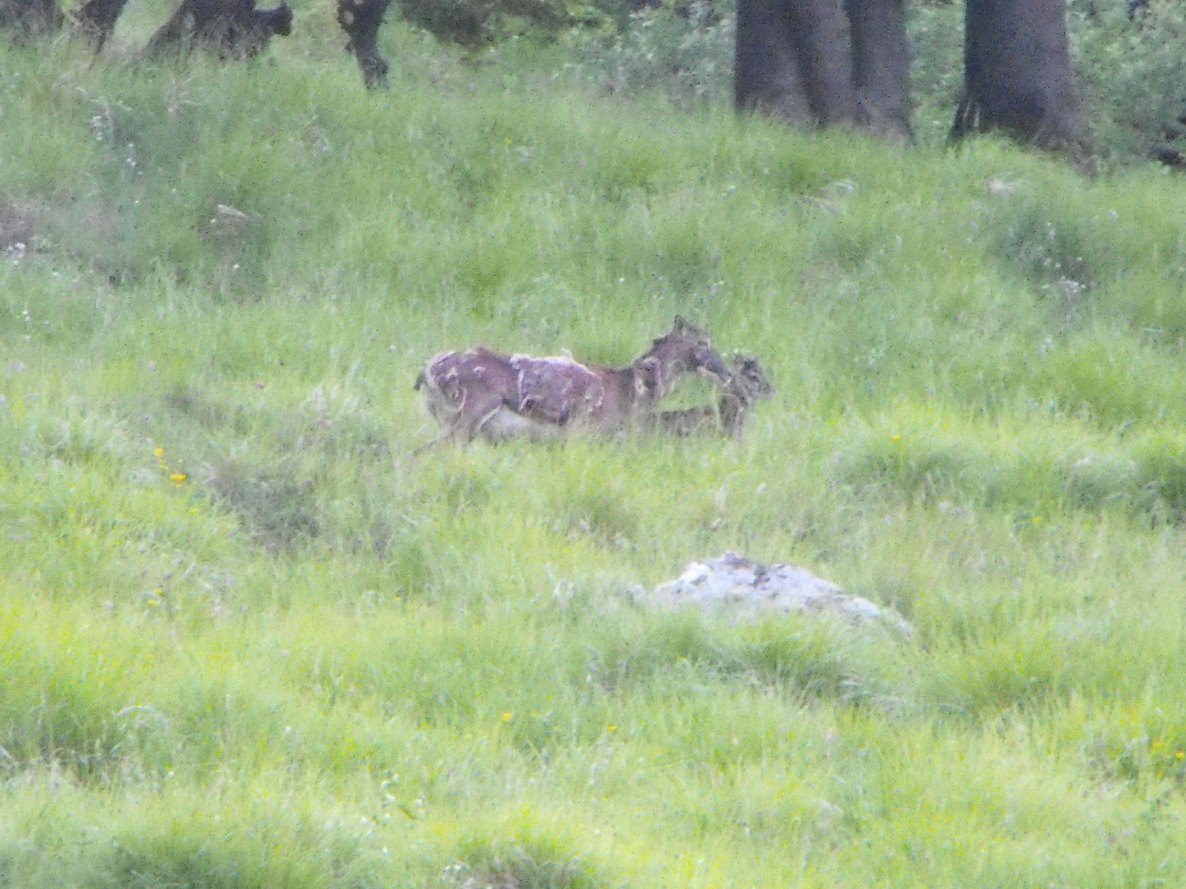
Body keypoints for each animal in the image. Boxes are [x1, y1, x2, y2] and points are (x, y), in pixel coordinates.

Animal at [415, 317, 730, 448]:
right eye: (702, 342)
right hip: (467, 413)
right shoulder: (583, 430)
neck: (629, 390)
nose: (726, 372)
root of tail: (427, 373)